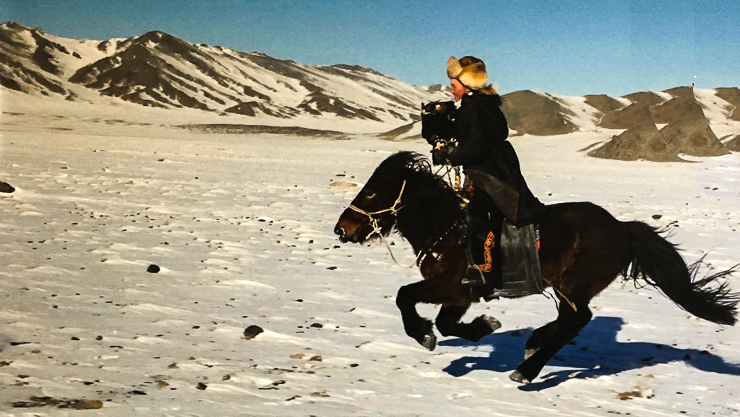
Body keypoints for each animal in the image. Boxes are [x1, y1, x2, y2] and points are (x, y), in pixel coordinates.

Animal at [336, 150, 740, 384]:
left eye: (372, 192)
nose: (342, 229)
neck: (445, 228)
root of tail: (622, 228)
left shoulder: (450, 286)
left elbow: (406, 298)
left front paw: (424, 334)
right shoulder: (460, 297)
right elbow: (448, 323)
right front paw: (483, 327)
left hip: (574, 285)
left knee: (577, 319)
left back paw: (527, 370)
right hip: (567, 287)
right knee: (569, 320)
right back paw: (532, 346)